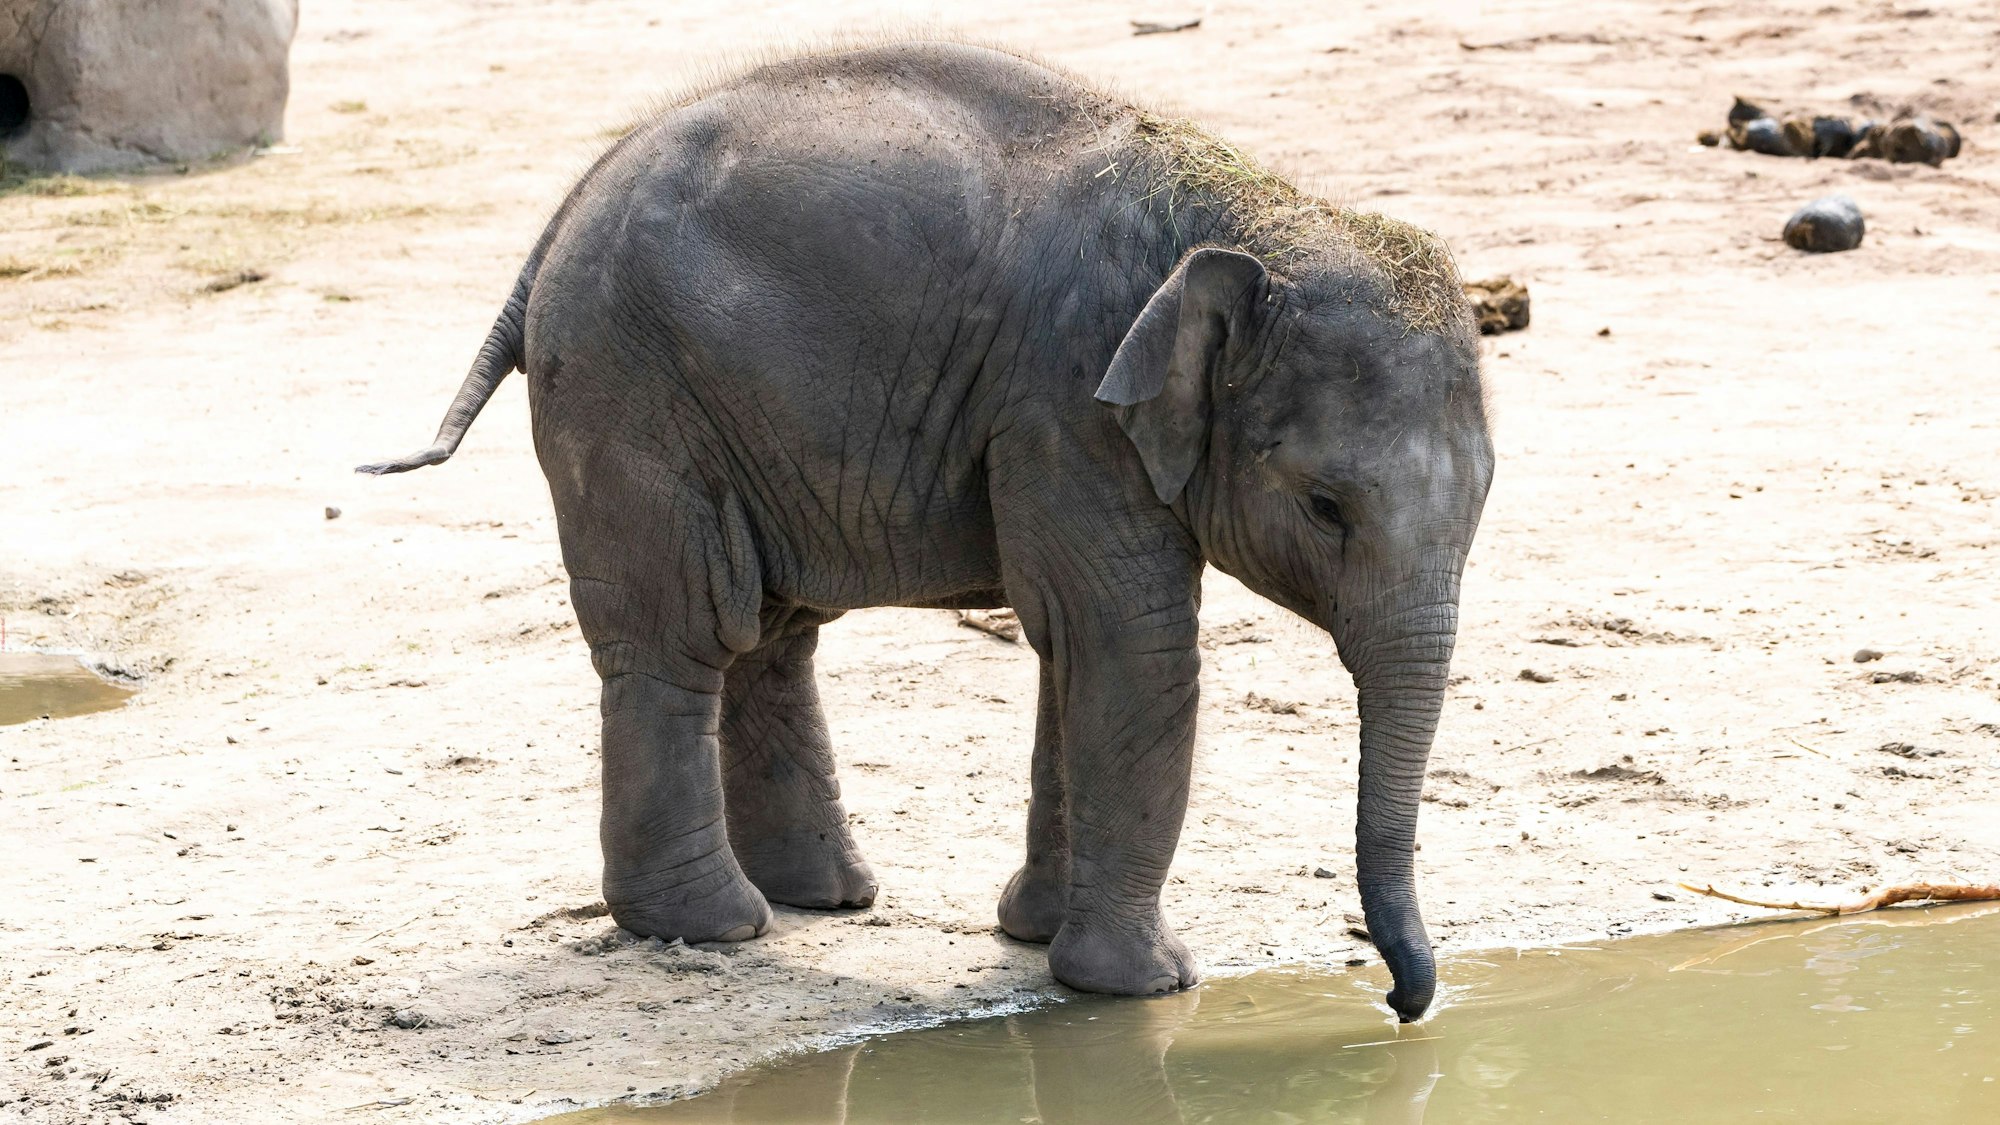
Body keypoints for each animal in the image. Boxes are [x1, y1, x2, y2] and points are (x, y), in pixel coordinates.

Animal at [360, 41, 1494, 1021]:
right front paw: (1148, 987)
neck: (1243, 216)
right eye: (1325, 507)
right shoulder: (1063, 402)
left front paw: (1037, 938)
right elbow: (1127, 642)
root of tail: (561, 214)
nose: (1401, 1004)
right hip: (629, 394)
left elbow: (1073, 650)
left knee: (770, 632)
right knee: (682, 634)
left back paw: (819, 896)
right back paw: (714, 926)